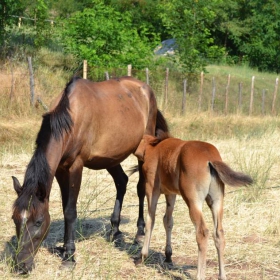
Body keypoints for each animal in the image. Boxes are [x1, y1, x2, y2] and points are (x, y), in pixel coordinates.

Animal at [10, 76, 168, 274]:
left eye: (38, 222)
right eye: (14, 218)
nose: (20, 266)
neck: (69, 119)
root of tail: (145, 88)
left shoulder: (76, 167)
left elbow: (70, 211)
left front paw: (69, 256)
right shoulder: (61, 170)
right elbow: (65, 208)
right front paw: (64, 249)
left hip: (142, 150)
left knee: (140, 188)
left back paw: (139, 234)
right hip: (111, 157)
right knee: (121, 182)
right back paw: (114, 230)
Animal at [132, 132, 253, 280]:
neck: (153, 146)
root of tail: (210, 159)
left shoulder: (151, 189)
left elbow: (151, 220)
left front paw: (143, 256)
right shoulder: (171, 193)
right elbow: (168, 221)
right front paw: (168, 256)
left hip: (193, 201)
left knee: (202, 232)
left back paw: (200, 275)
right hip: (217, 201)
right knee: (219, 233)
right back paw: (222, 275)